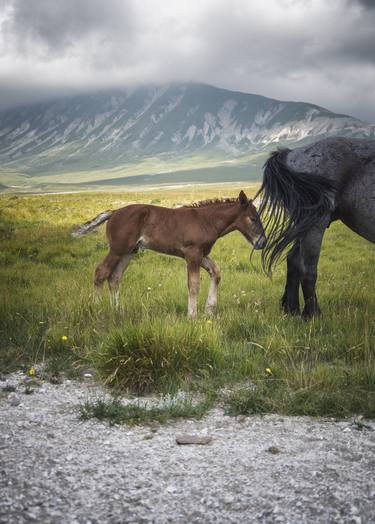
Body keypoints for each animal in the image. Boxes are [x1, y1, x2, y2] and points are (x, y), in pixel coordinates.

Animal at [72, 191, 268, 318]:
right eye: (253, 218)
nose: (263, 242)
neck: (207, 221)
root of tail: (113, 212)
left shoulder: (202, 254)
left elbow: (216, 272)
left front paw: (209, 310)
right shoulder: (192, 254)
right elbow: (194, 284)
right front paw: (192, 316)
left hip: (129, 251)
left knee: (114, 277)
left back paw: (117, 311)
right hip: (117, 249)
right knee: (101, 272)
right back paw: (98, 309)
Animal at [258, 137, 375, 318]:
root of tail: (293, 152)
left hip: (303, 224)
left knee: (293, 259)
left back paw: (292, 310)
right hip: (315, 223)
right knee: (307, 268)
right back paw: (313, 315)